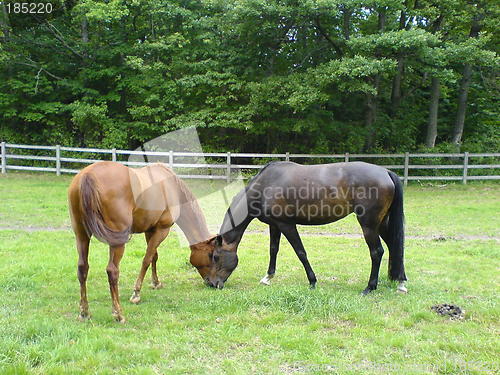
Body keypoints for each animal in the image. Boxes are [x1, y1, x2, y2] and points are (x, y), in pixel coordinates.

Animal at [68, 162, 215, 324]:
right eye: (211, 255)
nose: (214, 284)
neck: (171, 187)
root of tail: (88, 175)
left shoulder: (150, 230)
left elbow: (154, 257)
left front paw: (156, 283)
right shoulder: (162, 230)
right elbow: (146, 259)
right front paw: (136, 293)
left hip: (81, 235)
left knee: (83, 268)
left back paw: (84, 312)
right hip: (116, 241)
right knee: (112, 271)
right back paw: (118, 313)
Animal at [207, 163, 406, 296]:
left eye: (215, 257)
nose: (211, 283)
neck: (265, 185)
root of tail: (386, 172)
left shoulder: (287, 225)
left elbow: (300, 252)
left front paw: (312, 281)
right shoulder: (274, 225)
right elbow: (273, 249)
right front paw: (268, 277)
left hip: (369, 225)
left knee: (377, 252)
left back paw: (370, 287)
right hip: (381, 223)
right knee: (394, 246)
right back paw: (400, 281)